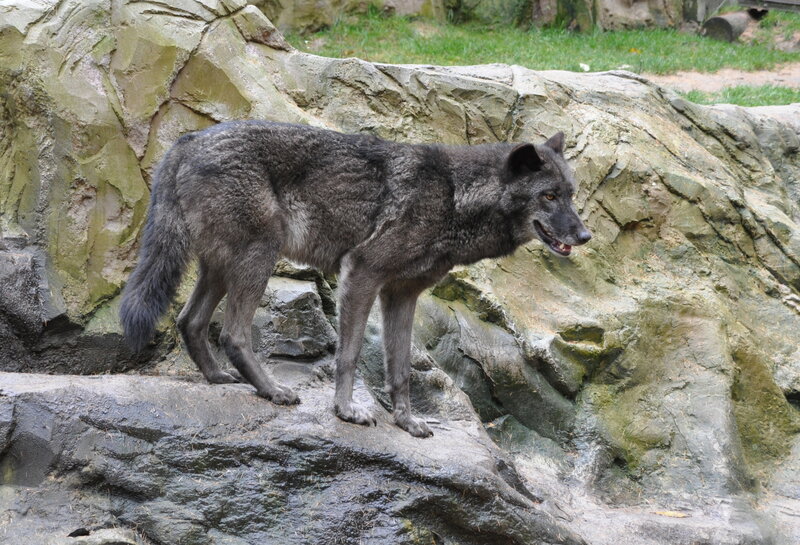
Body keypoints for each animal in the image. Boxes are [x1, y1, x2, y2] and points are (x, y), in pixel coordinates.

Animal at [119, 121, 591, 437]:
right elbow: (347, 356)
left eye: (571, 195)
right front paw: (346, 411)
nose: (585, 236)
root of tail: (188, 140)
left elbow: (400, 369)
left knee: (190, 321)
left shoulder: (402, 295)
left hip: (222, 269)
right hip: (257, 259)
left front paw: (407, 421)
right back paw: (273, 391)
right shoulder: (362, 274)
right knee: (232, 334)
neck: (454, 196)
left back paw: (218, 379)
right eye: (548, 196)